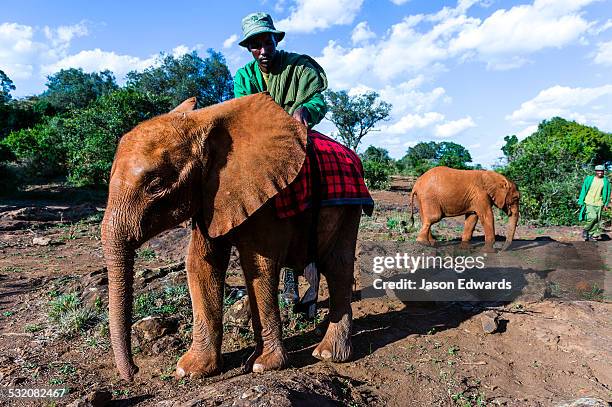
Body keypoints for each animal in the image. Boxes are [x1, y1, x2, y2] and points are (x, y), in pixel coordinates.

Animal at [103, 93, 366, 382]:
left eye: (156, 185)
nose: (135, 372)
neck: (203, 121)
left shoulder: (263, 194)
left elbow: (258, 265)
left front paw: (263, 366)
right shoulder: (208, 194)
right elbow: (201, 264)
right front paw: (190, 371)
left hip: (350, 206)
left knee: (337, 265)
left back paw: (328, 354)